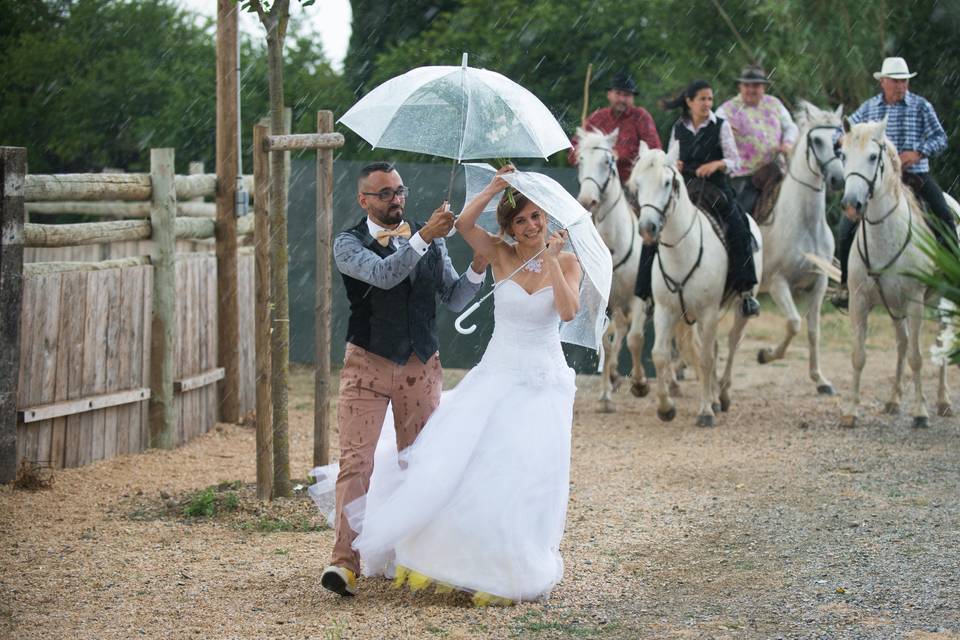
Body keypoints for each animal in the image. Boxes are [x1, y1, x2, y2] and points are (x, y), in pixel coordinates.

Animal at [572, 127, 648, 412]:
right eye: (581, 160)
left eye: (607, 162)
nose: (587, 200)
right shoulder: (602, 301)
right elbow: (605, 339)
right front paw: (606, 392)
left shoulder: (639, 299)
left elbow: (635, 339)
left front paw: (639, 383)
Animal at [632, 144, 764, 424]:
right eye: (638, 183)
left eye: (667, 182)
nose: (648, 228)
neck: (682, 251)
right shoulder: (665, 310)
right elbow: (660, 354)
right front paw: (666, 408)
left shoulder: (708, 311)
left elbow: (704, 357)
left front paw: (704, 412)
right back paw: (713, 397)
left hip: (739, 307)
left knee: (731, 344)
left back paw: (721, 396)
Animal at [752, 101, 844, 396]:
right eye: (816, 140)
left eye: (839, 139)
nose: (837, 179)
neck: (804, 223)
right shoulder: (779, 283)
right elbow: (794, 323)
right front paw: (765, 354)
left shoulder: (819, 284)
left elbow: (813, 330)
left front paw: (821, 380)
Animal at [840, 119, 952, 430]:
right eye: (843, 156)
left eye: (872, 157)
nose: (852, 204)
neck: (884, 234)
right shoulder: (858, 301)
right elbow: (858, 356)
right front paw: (851, 412)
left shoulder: (915, 301)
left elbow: (917, 357)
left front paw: (920, 413)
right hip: (894, 306)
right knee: (901, 343)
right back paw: (893, 400)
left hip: (942, 301)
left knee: (940, 342)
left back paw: (943, 402)